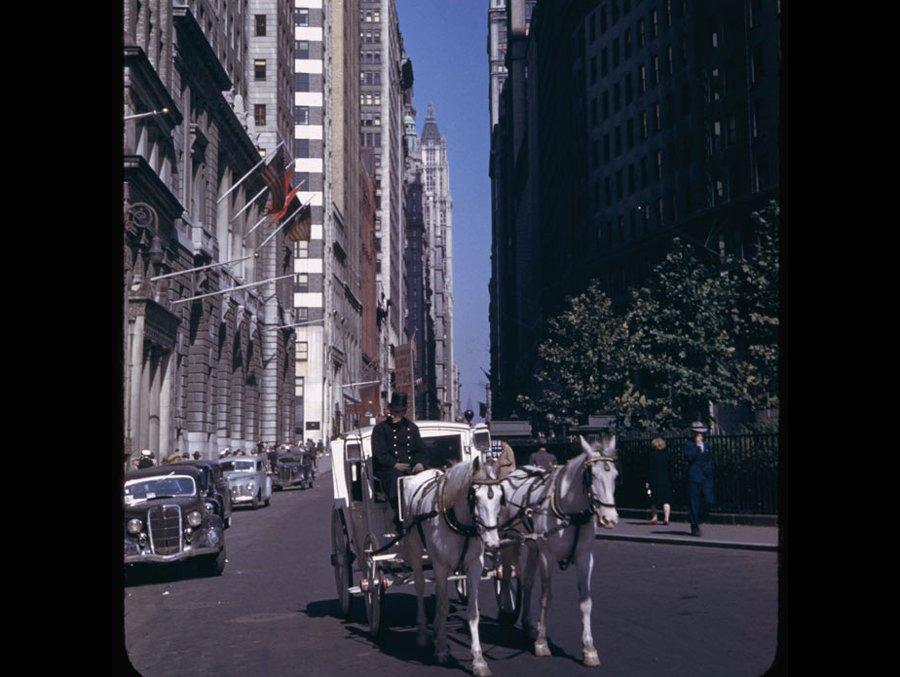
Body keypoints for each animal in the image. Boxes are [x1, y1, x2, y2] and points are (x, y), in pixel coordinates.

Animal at [402, 456, 506, 672]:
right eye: (475, 497)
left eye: (500, 497)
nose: (493, 544)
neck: (460, 523)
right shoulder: (440, 566)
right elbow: (442, 606)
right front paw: (442, 650)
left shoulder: (474, 566)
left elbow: (472, 611)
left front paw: (478, 660)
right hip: (415, 551)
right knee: (420, 587)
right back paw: (423, 633)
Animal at [500, 436, 620, 664]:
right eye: (592, 476)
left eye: (615, 476)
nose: (609, 519)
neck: (572, 514)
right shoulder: (547, 557)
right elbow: (546, 597)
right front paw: (541, 643)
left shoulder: (585, 557)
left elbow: (585, 601)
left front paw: (589, 648)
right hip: (509, 540)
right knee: (505, 574)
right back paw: (506, 608)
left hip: (533, 546)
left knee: (527, 582)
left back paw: (528, 624)